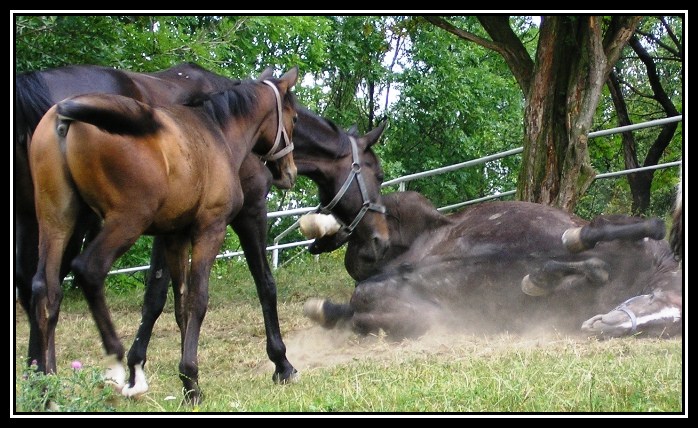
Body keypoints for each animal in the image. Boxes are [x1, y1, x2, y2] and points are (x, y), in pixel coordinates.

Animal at [27, 68, 296, 402]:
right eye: (294, 117)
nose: (289, 172)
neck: (216, 132)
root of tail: (66, 115)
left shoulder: (174, 236)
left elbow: (179, 303)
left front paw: (188, 380)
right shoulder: (212, 227)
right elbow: (201, 298)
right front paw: (191, 379)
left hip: (57, 221)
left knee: (45, 290)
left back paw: (46, 388)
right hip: (126, 221)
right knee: (88, 271)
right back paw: (116, 364)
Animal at [300, 193, 680, 342]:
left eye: (666, 326)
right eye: (656, 299)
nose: (605, 326)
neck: (638, 271)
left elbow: (590, 268)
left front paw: (538, 279)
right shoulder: (611, 225)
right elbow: (618, 231)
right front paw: (564, 251)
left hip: (412, 318)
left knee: (353, 309)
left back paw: (325, 309)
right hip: (405, 208)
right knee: (359, 231)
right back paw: (316, 226)